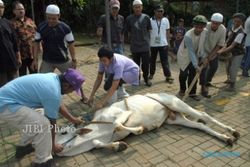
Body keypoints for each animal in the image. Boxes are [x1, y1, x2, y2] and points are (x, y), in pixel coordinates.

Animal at [56, 92, 240, 157]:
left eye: (62, 132)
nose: (56, 149)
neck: (97, 130)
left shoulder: (122, 115)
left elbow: (117, 124)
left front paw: (140, 129)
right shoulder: (101, 140)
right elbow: (101, 144)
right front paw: (119, 146)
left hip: (177, 104)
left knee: (203, 115)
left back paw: (232, 131)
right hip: (175, 118)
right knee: (200, 125)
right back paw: (227, 138)